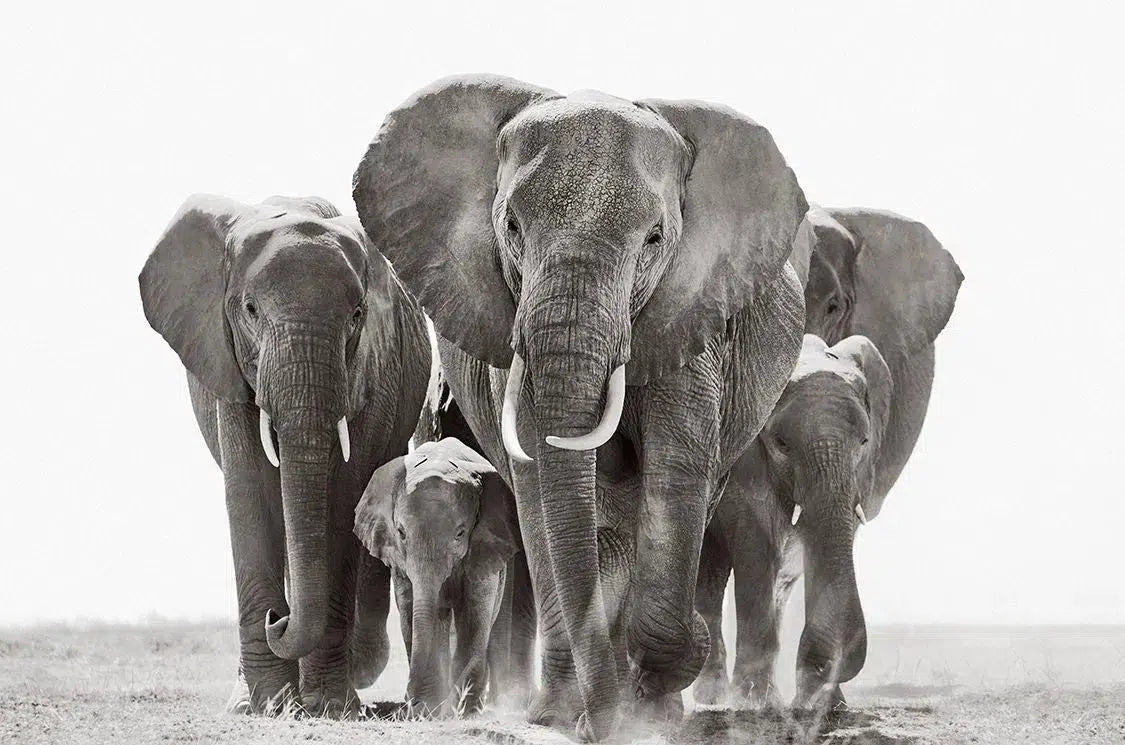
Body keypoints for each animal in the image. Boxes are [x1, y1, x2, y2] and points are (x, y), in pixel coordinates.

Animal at [132, 193, 429, 720]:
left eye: (357, 314)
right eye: (250, 309)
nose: (278, 618)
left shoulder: (373, 369)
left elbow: (342, 498)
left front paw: (329, 706)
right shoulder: (225, 359)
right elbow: (250, 492)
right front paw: (269, 703)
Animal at [353, 441, 519, 715]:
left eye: (460, 534)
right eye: (401, 532)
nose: (409, 700)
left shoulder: (484, 547)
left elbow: (474, 614)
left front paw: (460, 709)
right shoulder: (399, 561)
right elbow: (411, 611)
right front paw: (428, 708)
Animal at [693, 207, 967, 711]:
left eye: (837, 306)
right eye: (780, 443)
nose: (834, 662)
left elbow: (831, 532)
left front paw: (826, 703)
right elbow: (755, 530)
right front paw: (754, 703)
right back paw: (713, 695)